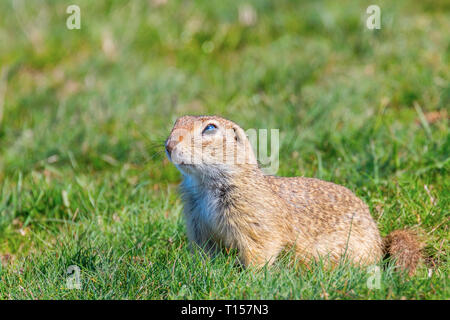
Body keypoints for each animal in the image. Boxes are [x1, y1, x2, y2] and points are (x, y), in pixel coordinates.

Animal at [164, 115, 422, 276]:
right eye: (177, 121)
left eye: (210, 128)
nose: (168, 145)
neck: (204, 185)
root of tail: (380, 240)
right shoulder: (197, 221)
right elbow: (205, 250)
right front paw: (204, 268)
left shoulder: (252, 214)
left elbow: (260, 247)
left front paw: (249, 277)